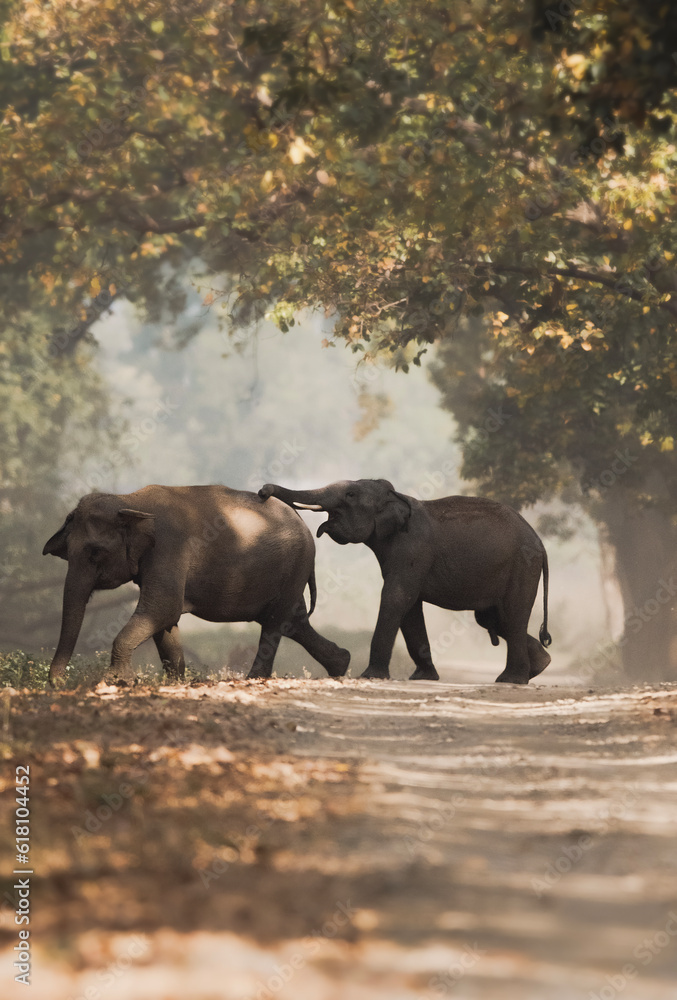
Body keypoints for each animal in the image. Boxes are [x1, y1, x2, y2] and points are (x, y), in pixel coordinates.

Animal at [43, 485, 350, 686]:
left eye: (95, 553)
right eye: (67, 552)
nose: (59, 683)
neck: (130, 500)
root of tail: (304, 524)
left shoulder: (170, 549)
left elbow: (163, 607)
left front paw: (118, 682)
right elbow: (164, 619)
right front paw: (175, 681)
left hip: (294, 566)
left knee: (275, 622)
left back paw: (253, 678)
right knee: (293, 621)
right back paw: (341, 663)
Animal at [259, 479, 552, 685]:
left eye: (350, 495)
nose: (262, 492)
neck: (395, 496)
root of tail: (540, 543)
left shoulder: (412, 549)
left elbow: (396, 597)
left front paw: (370, 676)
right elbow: (410, 608)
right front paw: (423, 678)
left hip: (523, 565)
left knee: (512, 615)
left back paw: (512, 680)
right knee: (493, 618)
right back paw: (540, 666)